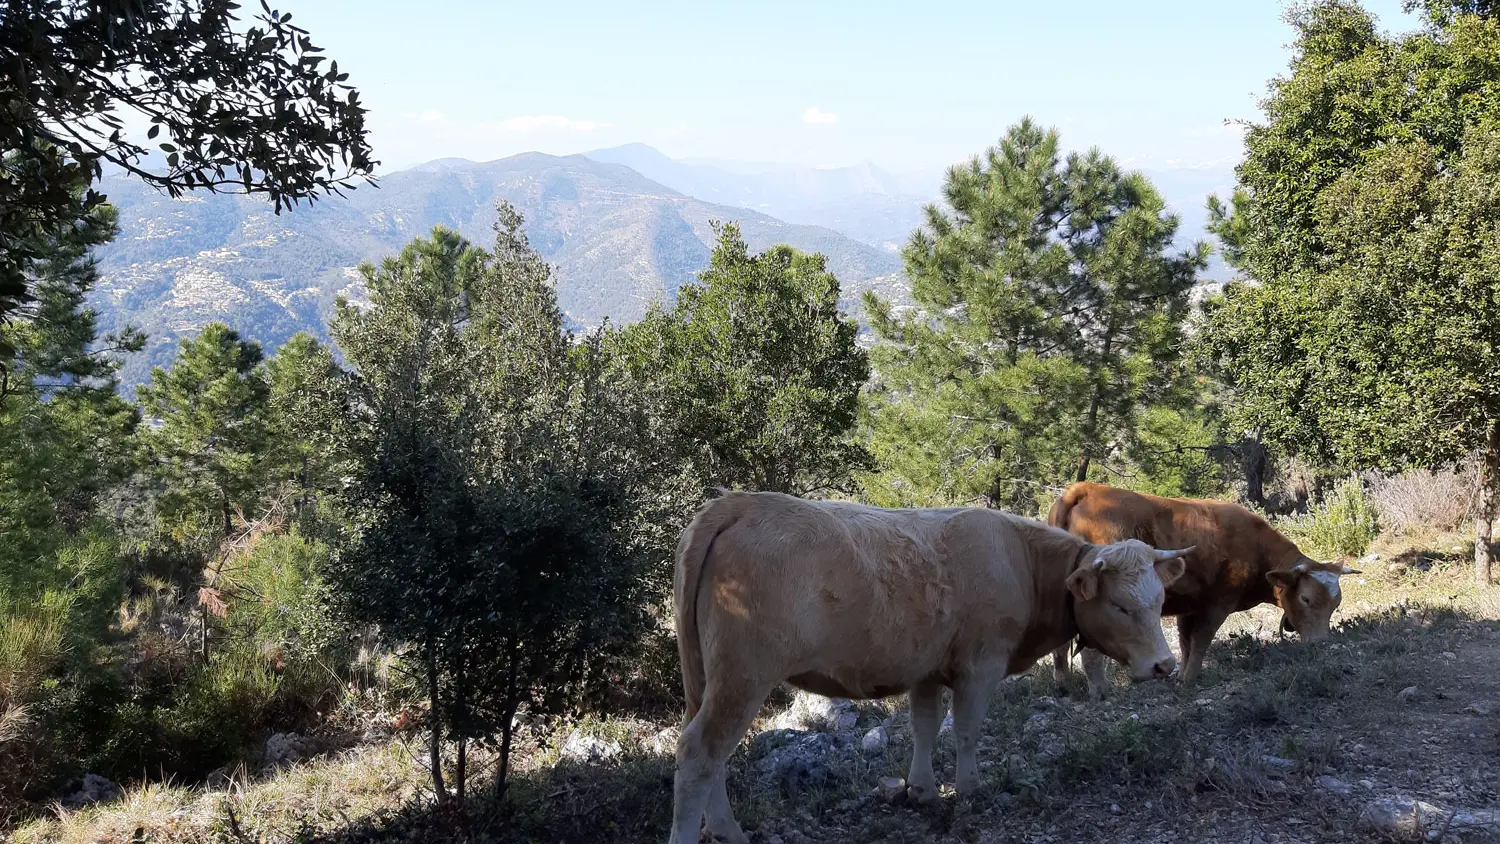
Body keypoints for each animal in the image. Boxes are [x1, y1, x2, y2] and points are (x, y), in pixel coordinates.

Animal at [669, 488, 1194, 844]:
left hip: (706, 679)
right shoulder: (982, 663)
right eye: (1121, 606)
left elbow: (924, 724)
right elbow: (965, 728)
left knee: (710, 753)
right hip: (743, 675)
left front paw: (921, 790)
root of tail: (738, 504)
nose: (1165, 664)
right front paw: (969, 788)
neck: (1022, 560)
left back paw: (727, 831)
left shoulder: (925, 667)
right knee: (701, 751)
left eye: (1159, 599)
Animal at [1044, 482, 1362, 692]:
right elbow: (1201, 641)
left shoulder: (1188, 605)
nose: (1321, 642)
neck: (1255, 546)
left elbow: (1186, 643)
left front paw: (1182, 675)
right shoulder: (1217, 603)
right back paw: (1100, 691)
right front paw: (1190, 679)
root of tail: (1087, 488)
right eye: (1306, 599)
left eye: (1335, 604)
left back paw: (1063, 684)